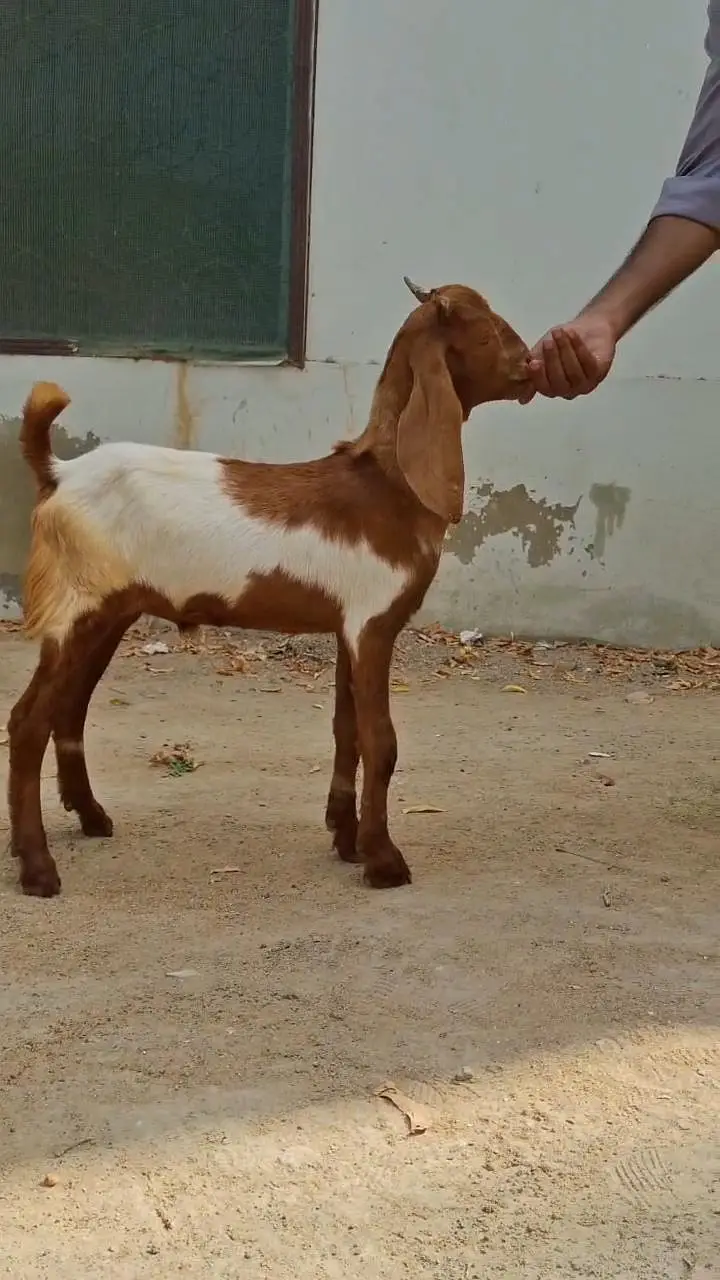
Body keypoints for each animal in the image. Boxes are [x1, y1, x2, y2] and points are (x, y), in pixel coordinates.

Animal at [7, 277, 531, 898]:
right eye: (487, 329)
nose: (530, 364)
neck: (388, 486)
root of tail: (59, 474)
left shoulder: (347, 626)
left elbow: (347, 731)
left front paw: (345, 839)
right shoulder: (373, 623)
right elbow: (380, 742)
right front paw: (383, 861)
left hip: (108, 610)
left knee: (68, 709)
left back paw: (85, 818)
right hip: (80, 604)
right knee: (29, 721)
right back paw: (37, 867)